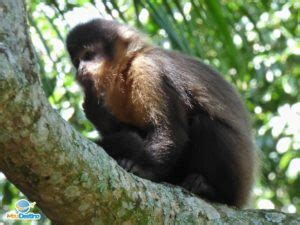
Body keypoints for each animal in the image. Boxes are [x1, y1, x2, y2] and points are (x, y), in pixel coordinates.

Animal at [65, 19, 255, 207]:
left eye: (88, 55)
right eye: (77, 61)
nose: (80, 70)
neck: (126, 70)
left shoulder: (149, 69)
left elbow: (170, 131)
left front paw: (144, 170)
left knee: (205, 124)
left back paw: (214, 191)